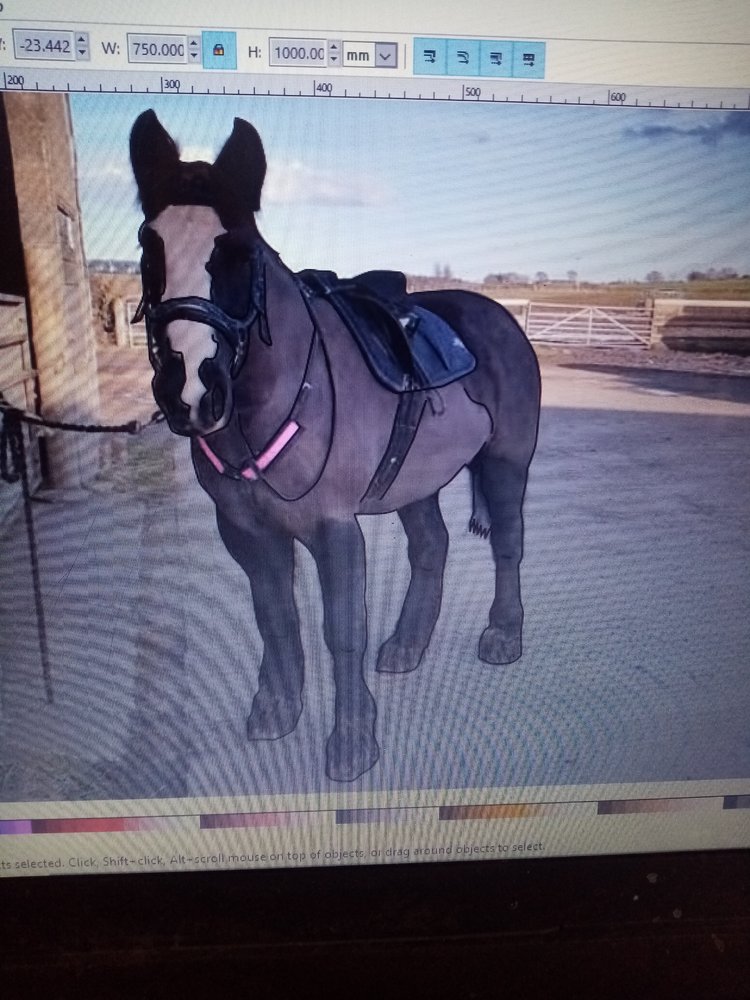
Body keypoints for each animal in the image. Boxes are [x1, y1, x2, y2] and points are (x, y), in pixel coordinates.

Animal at [129, 110, 541, 782]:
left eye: (237, 252)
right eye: (148, 244)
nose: (189, 388)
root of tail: (500, 317)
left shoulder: (334, 530)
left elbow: (341, 630)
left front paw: (352, 744)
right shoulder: (246, 531)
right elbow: (275, 617)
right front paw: (276, 710)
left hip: (507, 464)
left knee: (507, 543)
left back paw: (503, 637)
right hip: (416, 480)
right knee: (431, 546)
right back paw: (406, 646)